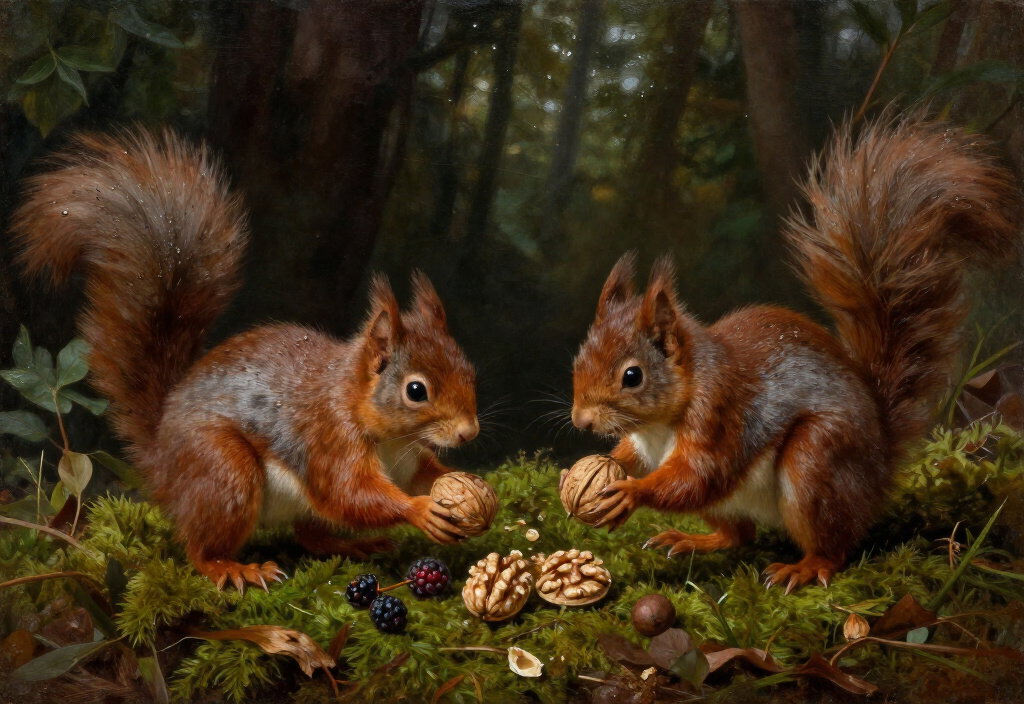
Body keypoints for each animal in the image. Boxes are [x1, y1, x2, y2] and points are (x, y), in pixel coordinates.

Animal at [12, 129, 480, 591]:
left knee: (311, 534)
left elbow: (419, 478)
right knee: (198, 547)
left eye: (471, 371)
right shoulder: (329, 442)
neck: (390, 435)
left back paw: (353, 545)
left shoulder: (408, 460)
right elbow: (351, 495)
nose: (469, 433)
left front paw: (458, 484)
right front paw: (421, 509)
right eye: (416, 391)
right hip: (223, 472)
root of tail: (160, 459)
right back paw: (232, 568)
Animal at [570, 115, 1020, 592]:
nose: (581, 421)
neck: (660, 420)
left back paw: (804, 567)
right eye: (578, 362)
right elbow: (634, 457)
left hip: (817, 463)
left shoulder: (721, 416)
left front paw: (630, 492)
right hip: (740, 503)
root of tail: (880, 462)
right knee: (738, 534)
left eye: (632, 376)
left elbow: (701, 475)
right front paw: (599, 465)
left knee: (834, 547)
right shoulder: (647, 445)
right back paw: (693, 540)